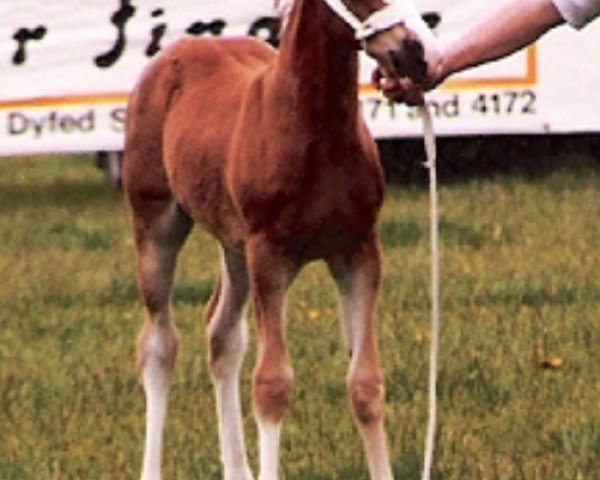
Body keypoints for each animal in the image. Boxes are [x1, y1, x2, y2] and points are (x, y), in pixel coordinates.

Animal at [123, 0, 426, 480]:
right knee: (159, 344)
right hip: (157, 223)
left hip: (234, 246)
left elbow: (365, 383)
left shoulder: (358, 252)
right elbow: (272, 384)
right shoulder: (270, 255)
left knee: (222, 334)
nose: (415, 51)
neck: (313, 128)